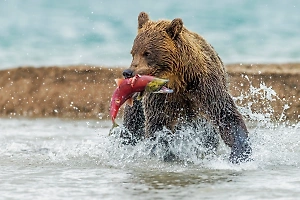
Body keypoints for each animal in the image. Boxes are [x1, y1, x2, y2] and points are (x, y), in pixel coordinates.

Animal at [119, 11, 251, 163]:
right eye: (133, 52)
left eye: (147, 53)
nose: (128, 73)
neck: (179, 80)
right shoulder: (161, 97)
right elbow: (158, 123)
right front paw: (164, 152)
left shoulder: (204, 86)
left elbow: (225, 113)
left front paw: (239, 153)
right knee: (132, 125)